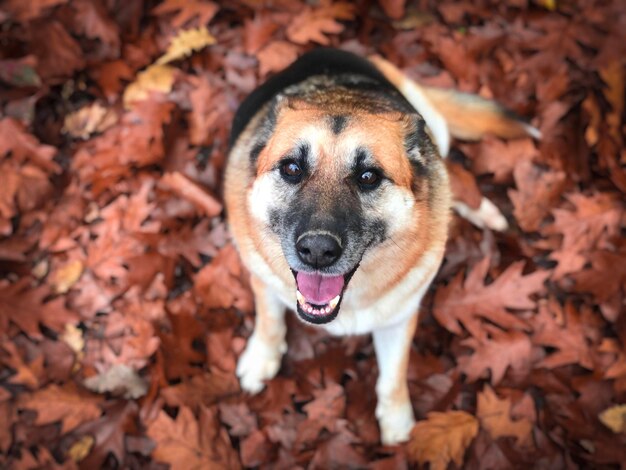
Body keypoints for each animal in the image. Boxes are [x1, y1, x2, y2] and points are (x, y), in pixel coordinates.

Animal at [224, 48, 536, 444]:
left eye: (368, 177)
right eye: (292, 168)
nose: (318, 250)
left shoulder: (399, 319)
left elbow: (392, 379)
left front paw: (398, 425)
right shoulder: (262, 279)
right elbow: (269, 320)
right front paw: (261, 358)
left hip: (434, 129)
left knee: (454, 172)